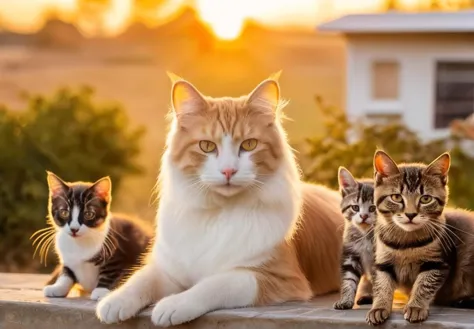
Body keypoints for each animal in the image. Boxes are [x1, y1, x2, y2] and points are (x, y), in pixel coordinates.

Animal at [37, 172, 152, 300]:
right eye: (64, 213)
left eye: (89, 214)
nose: (74, 229)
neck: (79, 244)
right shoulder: (67, 260)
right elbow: (66, 273)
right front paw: (57, 287)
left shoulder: (117, 251)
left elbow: (110, 271)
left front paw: (101, 291)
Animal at [95, 73, 344, 326]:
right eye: (206, 146)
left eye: (249, 144)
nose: (228, 171)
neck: (220, 212)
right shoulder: (170, 268)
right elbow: (141, 279)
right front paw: (115, 301)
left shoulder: (278, 278)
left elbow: (215, 283)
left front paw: (173, 305)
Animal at [334, 168, 374, 308]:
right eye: (355, 207)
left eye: (373, 208)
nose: (364, 216)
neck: (366, 235)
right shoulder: (351, 254)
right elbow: (349, 279)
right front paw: (346, 300)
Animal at [368, 151, 474, 326]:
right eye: (396, 197)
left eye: (425, 199)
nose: (410, 214)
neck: (406, 243)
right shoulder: (384, 262)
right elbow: (382, 285)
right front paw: (378, 307)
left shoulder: (437, 263)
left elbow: (424, 284)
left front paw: (416, 306)